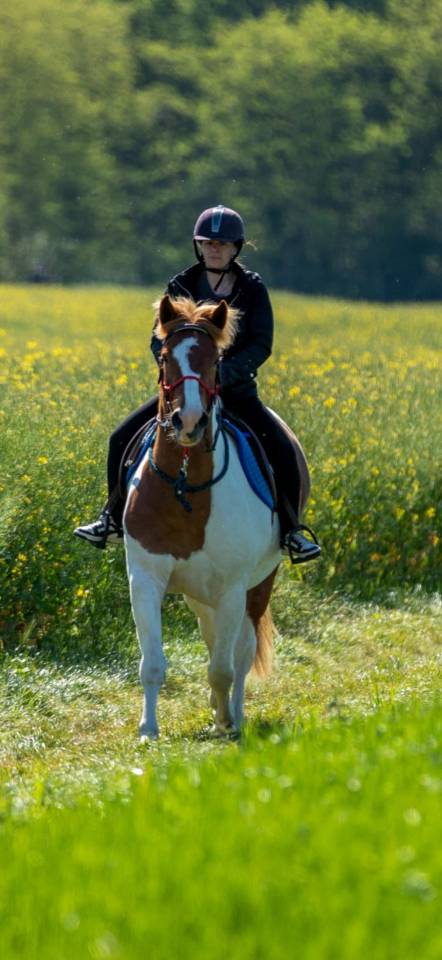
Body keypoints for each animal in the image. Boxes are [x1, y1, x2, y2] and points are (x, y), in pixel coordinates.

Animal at [123, 293, 310, 739]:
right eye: (165, 359)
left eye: (214, 361)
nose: (188, 421)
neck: (186, 486)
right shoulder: (145, 578)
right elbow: (152, 663)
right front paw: (148, 729)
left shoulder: (232, 589)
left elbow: (225, 667)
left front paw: (227, 722)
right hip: (198, 593)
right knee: (212, 639)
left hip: (256, 586)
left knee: (240, 653)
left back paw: (234, 714)